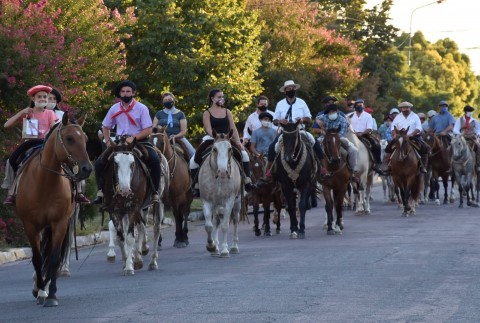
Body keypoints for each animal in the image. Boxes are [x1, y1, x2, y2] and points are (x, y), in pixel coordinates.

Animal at [13, 114, 92, 308]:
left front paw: (50, 294)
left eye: (85, 139)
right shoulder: (30, 225)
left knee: (50, 256)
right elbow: (37, 258)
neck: (44, 182)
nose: (87, 169)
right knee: (42, 256)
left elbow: (54, 258)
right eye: (70, 138)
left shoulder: (60, 223)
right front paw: (41, 290)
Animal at [101, 137, 167, 276]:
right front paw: (126, 262)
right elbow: (121, 238)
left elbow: (130, 238)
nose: (125, 190)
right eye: (115, 163)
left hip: (157, 203)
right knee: (141, 226)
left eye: (132, 163)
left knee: (156, 228)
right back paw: (138, 256)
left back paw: (152, 262)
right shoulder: (114, 211)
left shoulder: (132, 208)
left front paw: (129, 267)